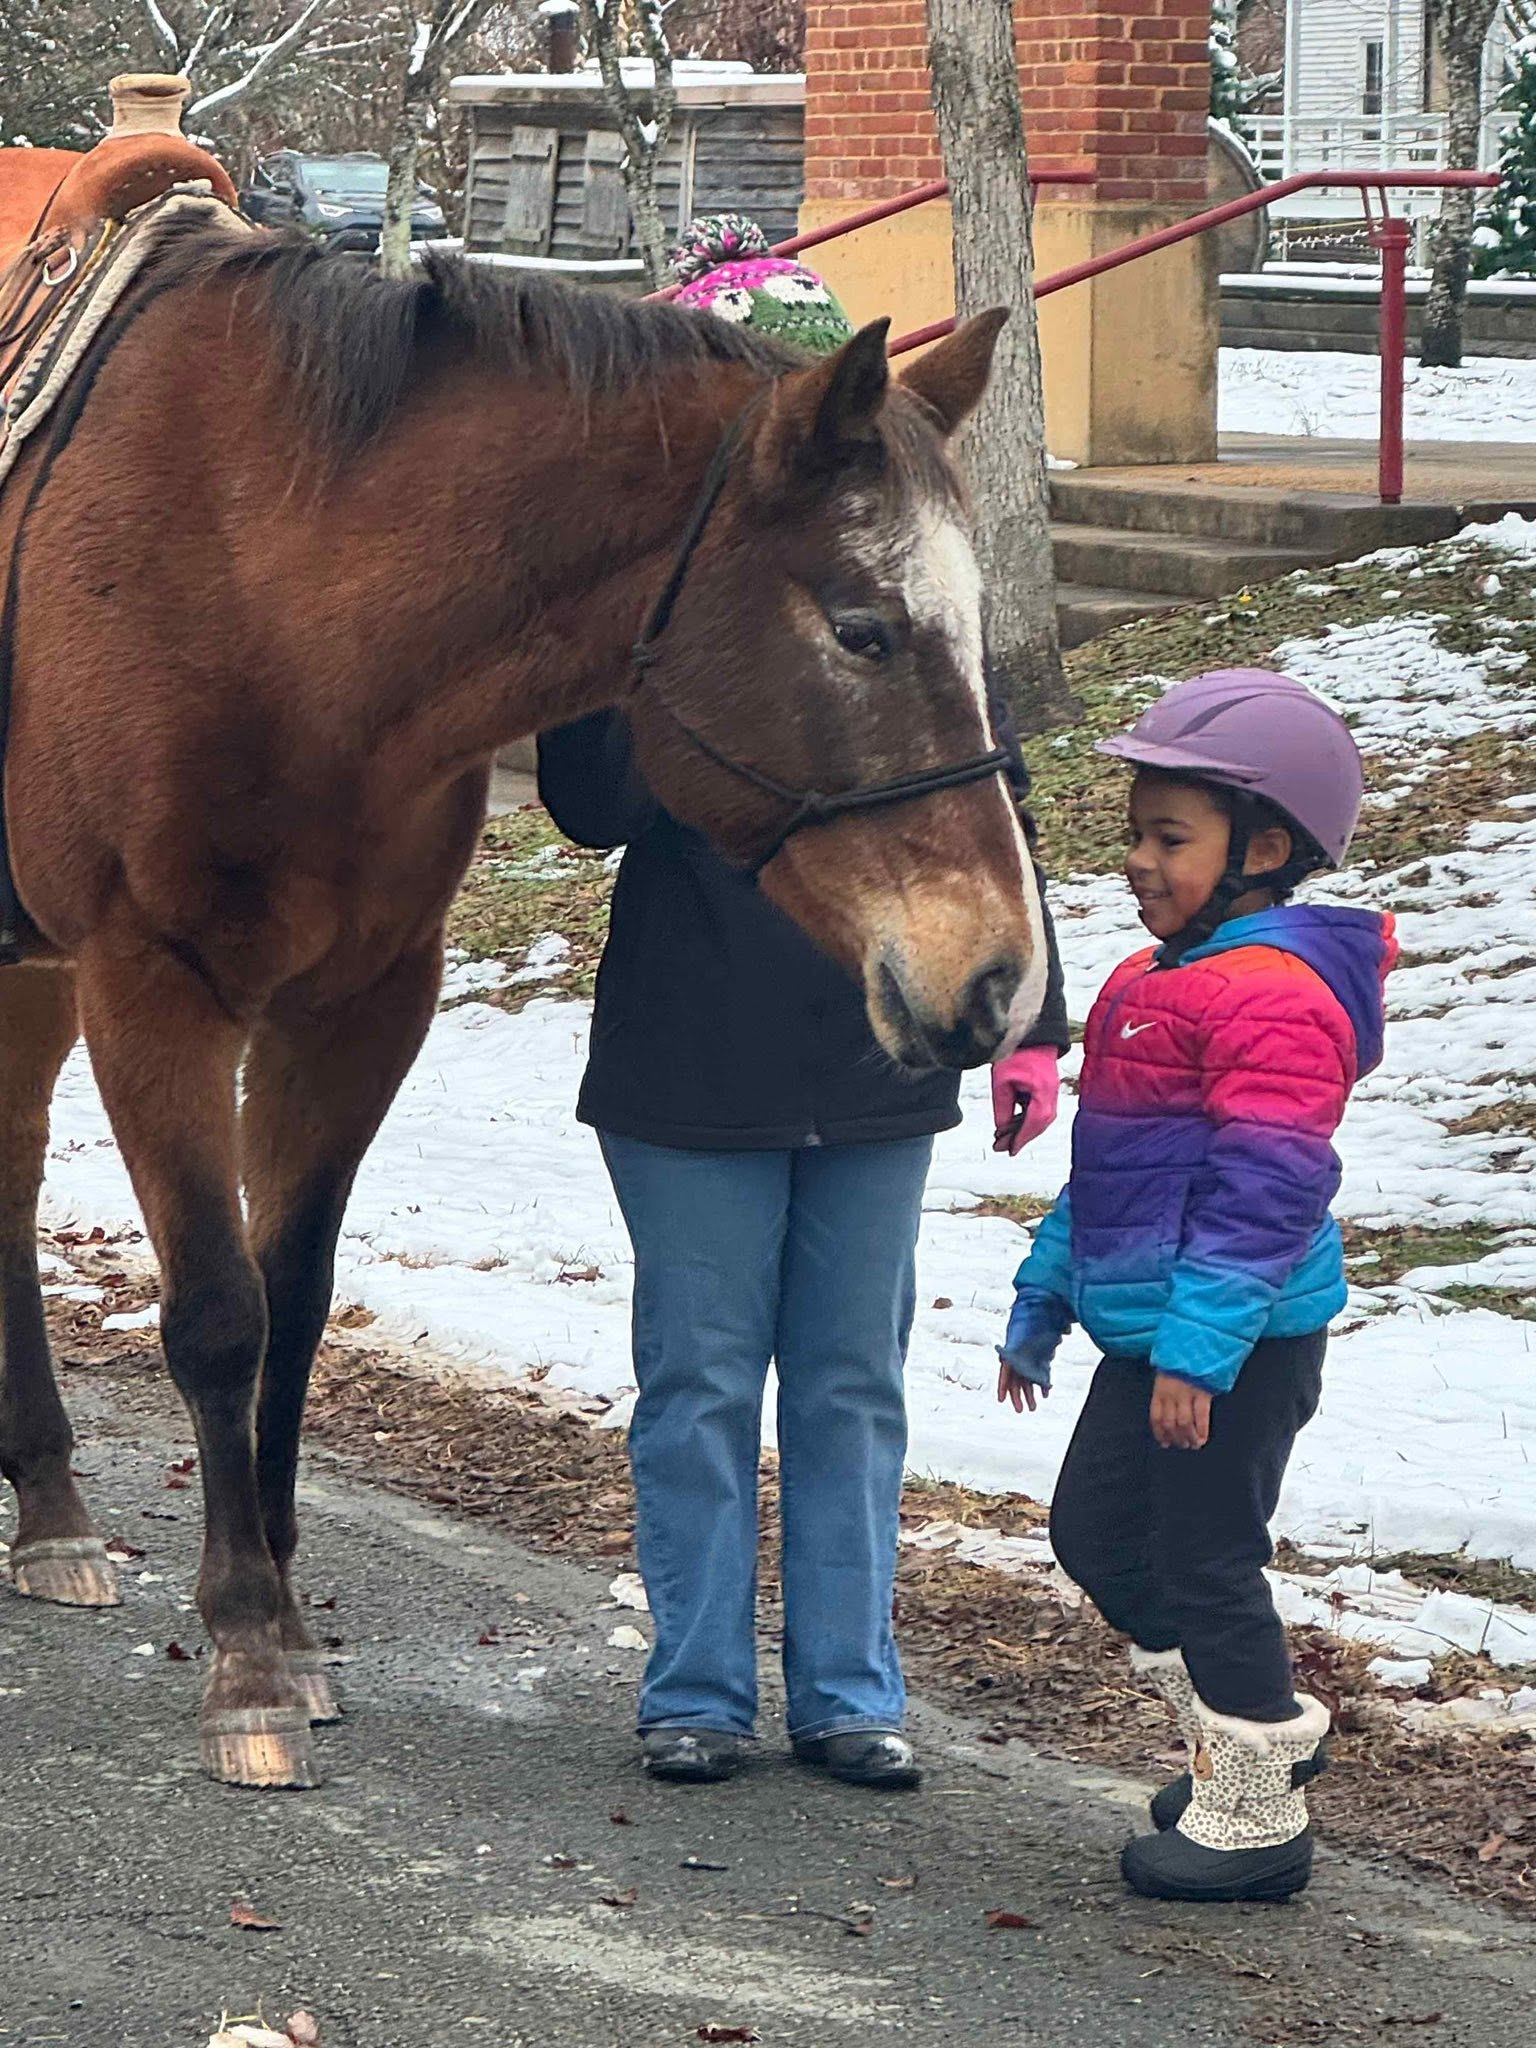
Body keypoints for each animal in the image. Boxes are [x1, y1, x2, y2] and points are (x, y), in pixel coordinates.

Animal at [0, 223, 1048, 1788]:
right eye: (864, 630)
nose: (1001, 978)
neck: (265, 576)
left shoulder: (362, 1002)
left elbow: (295, 1297)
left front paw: (286, 1614)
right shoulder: (152, 985)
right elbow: (219, 1313)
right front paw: (246, 1649)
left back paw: (52, 1508)